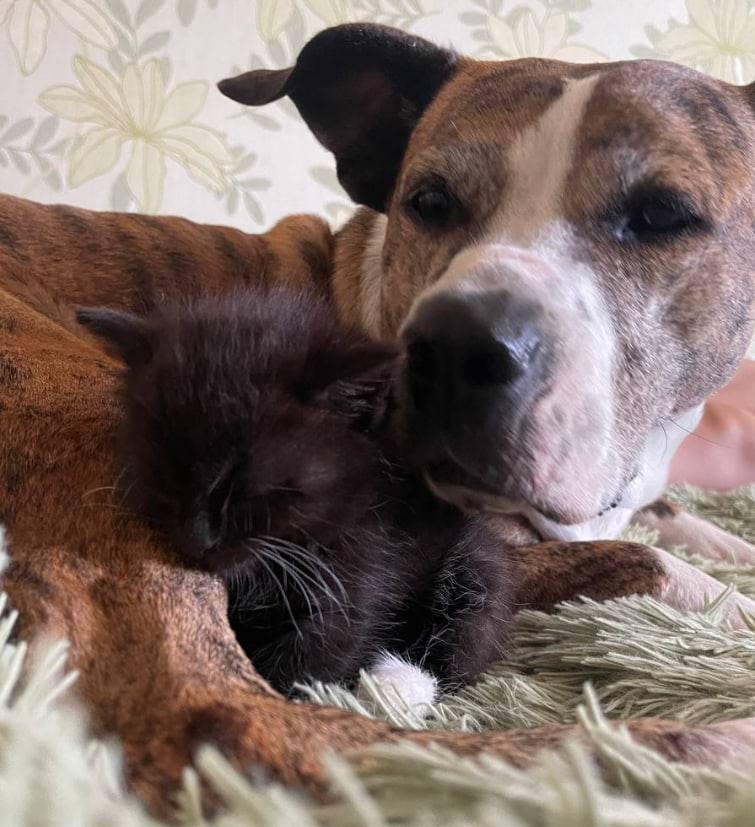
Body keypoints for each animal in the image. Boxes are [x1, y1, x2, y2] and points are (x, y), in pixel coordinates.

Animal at [77, 288, 512, 696]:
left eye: (239, 477)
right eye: (164, 464)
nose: (196, 537)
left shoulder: (368, 557)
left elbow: (321, 652)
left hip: (475, 557)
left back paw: (397, 684)